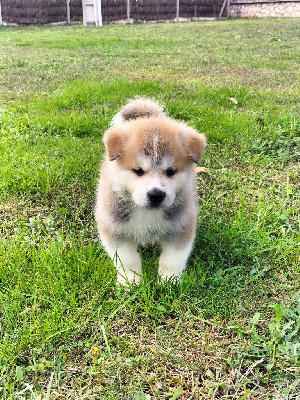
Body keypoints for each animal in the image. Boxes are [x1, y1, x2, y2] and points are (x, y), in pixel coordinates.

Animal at [94, 97, 206, 284]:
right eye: (138, 170)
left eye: (171, 171)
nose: (156, 195)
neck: (147, 213)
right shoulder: (115, 230)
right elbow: (127, 260)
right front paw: (130, 282)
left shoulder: (181, 227)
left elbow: (172, 259)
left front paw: (168, 281)